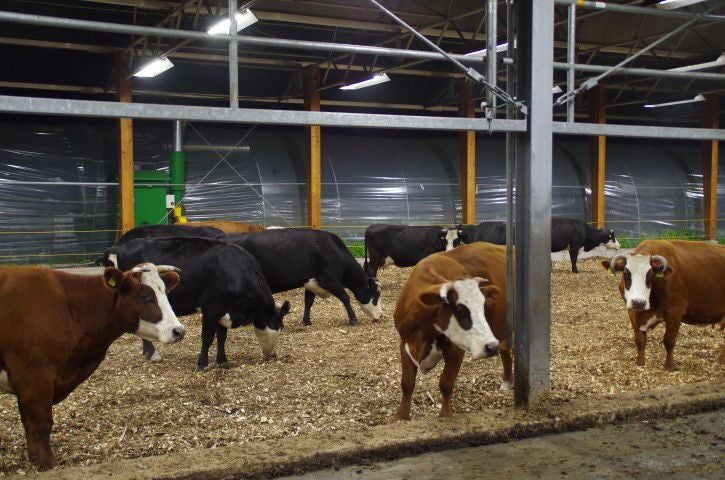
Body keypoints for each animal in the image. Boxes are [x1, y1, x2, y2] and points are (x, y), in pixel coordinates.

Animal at [0, 263, 184, 470]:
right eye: (145, 296)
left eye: (165, 292)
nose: (179, 331)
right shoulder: (34, 375)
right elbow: (40, 425)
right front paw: (48, 465)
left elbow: (27, 422)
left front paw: (34, 458)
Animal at [115, 237, 290, 369]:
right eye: (278, 328)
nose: (273, 355)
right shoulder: (211, 308)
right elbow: (207, 337)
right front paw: (203, 363)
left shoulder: (223, 311)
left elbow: (221, 337)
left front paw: (222, 361)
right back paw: (153, 354)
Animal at [227, 229, 381, 326]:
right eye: (376, 295)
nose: (380, 315)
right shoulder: (330, 281)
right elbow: (345, 298)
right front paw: (353, 319)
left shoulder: (311, 282)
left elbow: (308, 302)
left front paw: (306, 321)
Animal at [393, 242, 511, 420]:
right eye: (461, 311)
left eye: (483, 307)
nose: (491, 346)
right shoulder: (405, 342)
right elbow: (407, 384)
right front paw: (402, 417)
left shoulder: (455, 349)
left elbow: (446, 384)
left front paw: (445, 415)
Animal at [602, 240, 725, 371]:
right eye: (626, 273)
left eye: (650, 274)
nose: (638, 302)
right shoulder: (632, 312)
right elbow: (640, 340)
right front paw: (640, 363)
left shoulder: (675, 312)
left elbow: (669, 341)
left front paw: (669, 366)